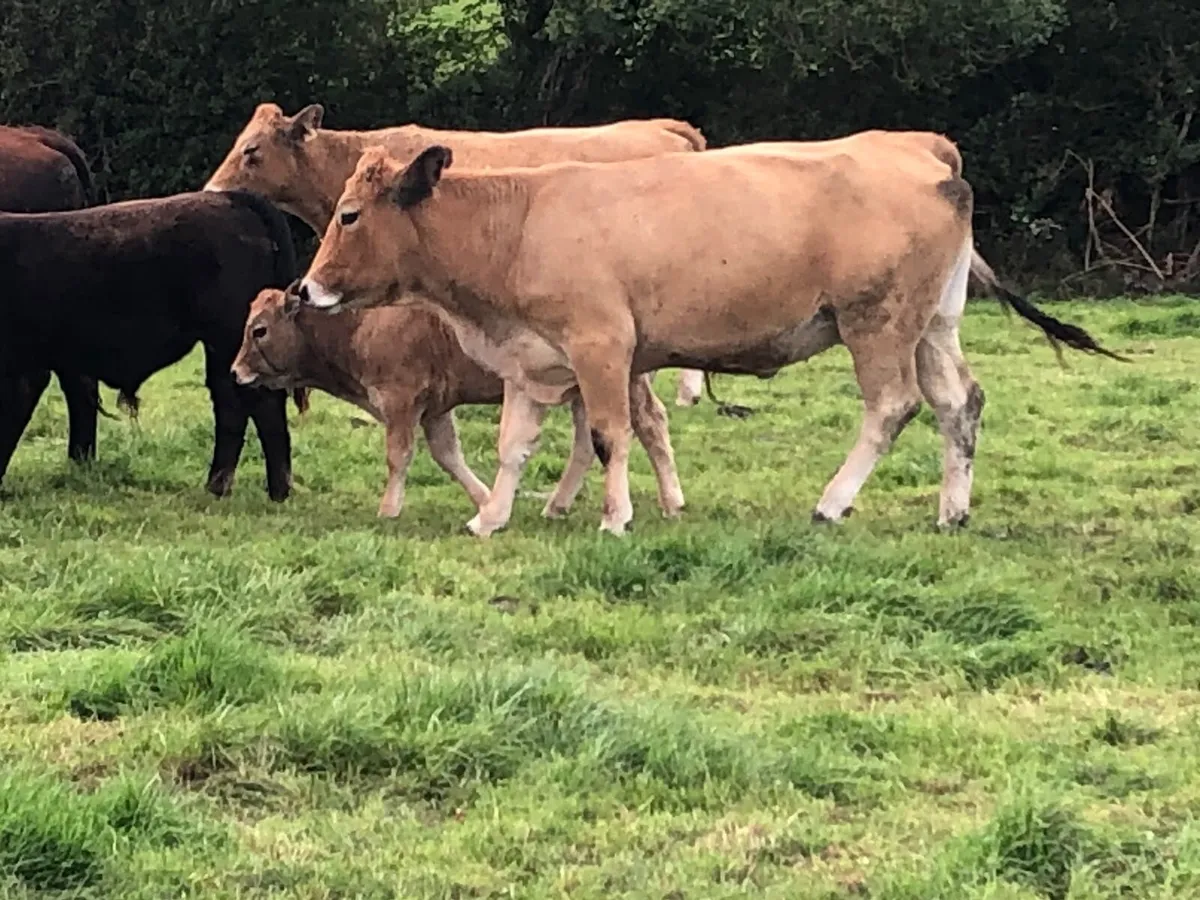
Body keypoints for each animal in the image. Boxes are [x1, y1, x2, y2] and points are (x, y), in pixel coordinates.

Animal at [0, 191, 299, 500]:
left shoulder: (22, 369)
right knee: (232, 403)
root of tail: (232, 198)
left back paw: (275, 492)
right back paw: (219, 487)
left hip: (232, 339)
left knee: (260, 405)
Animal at [231, 287, 685, 522]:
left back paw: (670, 500)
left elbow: (399, 456)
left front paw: (388, 509)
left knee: (648, 426)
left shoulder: (402, 402)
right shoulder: (435, 409)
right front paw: (486, 500)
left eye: (260, 329)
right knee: (590, 443)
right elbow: (448, 456)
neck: (361, 325)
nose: (236, 371)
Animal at [296, 136, 1125, 537]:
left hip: (878, 325)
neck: (520, 219)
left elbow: (610, 435)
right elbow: (513, 447)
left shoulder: (602, 348)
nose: (306, 288)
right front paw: (491, 517)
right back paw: (952, 510)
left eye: (349, 215)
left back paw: (832, 502)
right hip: (933, 327)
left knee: (892, 407)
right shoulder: (534, 361)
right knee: (961, 405)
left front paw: (617, 517)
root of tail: (934, 170)